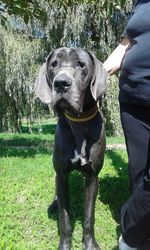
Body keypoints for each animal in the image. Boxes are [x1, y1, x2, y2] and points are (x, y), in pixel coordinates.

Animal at [34, 47, 108, 250]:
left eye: (81, 65)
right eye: (53, 65)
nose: (61, 83)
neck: (78, 122)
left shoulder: (92, 175)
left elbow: (89, 217)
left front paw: (90, 244)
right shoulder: (61, 174)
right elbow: (64, 219)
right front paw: (65, 244)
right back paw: (54, 204)